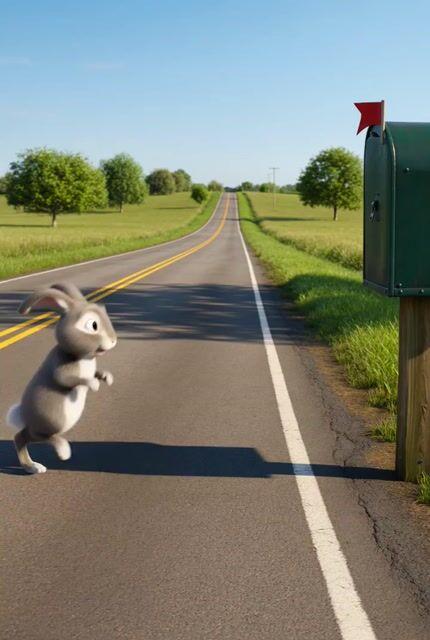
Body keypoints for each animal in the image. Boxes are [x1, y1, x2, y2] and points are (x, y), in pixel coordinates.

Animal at [6, 282, 117, 474]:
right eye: (93, 325)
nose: (113, 340)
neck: (84, 357)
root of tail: (23, 416)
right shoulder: (60, 367)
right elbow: (65, 379)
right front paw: (93, 384)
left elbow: (96, 373)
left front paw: (106, 377)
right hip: (49, 422)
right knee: (40, 437)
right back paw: (61, 452)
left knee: (22, 437)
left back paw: (32, 467)